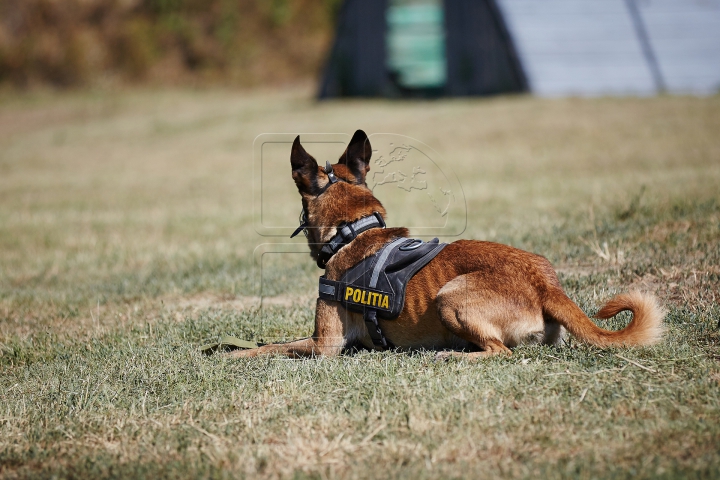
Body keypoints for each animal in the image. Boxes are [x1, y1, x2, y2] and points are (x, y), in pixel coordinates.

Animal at [231, 131, 664, 360]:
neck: (353, 230)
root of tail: (546, 284)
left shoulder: (325, 344)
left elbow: (274, 346)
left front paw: (234, 352)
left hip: (449, 296)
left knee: (499, 352)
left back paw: (450, 354)